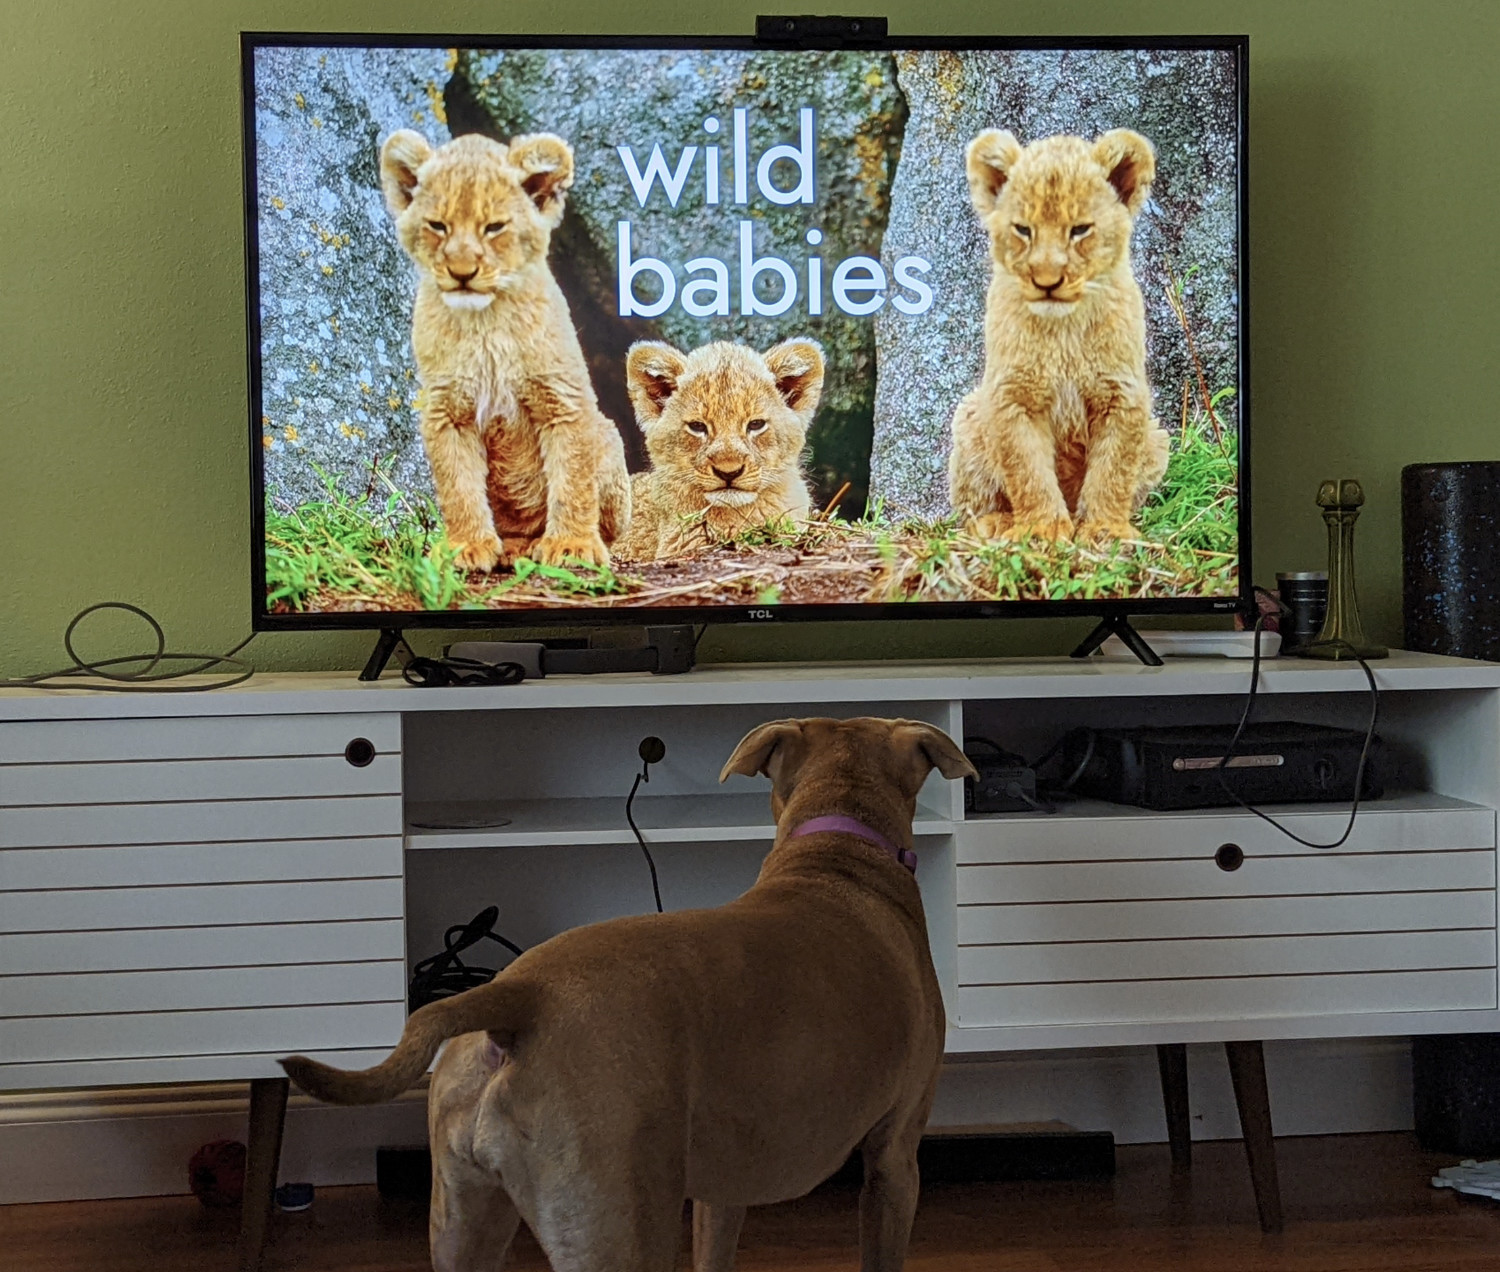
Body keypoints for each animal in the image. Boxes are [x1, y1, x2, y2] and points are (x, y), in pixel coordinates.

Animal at [280, 720, 972, 1266]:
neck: (839, 849)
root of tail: (518, 995)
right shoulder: (895, 1158)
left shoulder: (724, 1188)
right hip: (617, 1216)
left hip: (465, 1218)